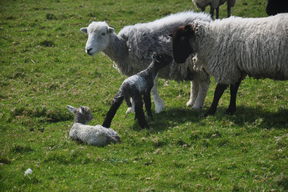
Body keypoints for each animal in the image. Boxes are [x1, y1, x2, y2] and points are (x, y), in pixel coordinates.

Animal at [80, 11, 212, 113]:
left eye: (103, 33)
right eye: (88, 33)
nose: (88, 49)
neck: (124, 47)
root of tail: (207, 19)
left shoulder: (148, 67)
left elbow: (153, 89)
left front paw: (159, 107)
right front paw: (131, 108)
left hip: (200, 62)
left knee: (204, 83)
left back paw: (197, 105)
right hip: (192, 65)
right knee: (195, 82)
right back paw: (191, 102)